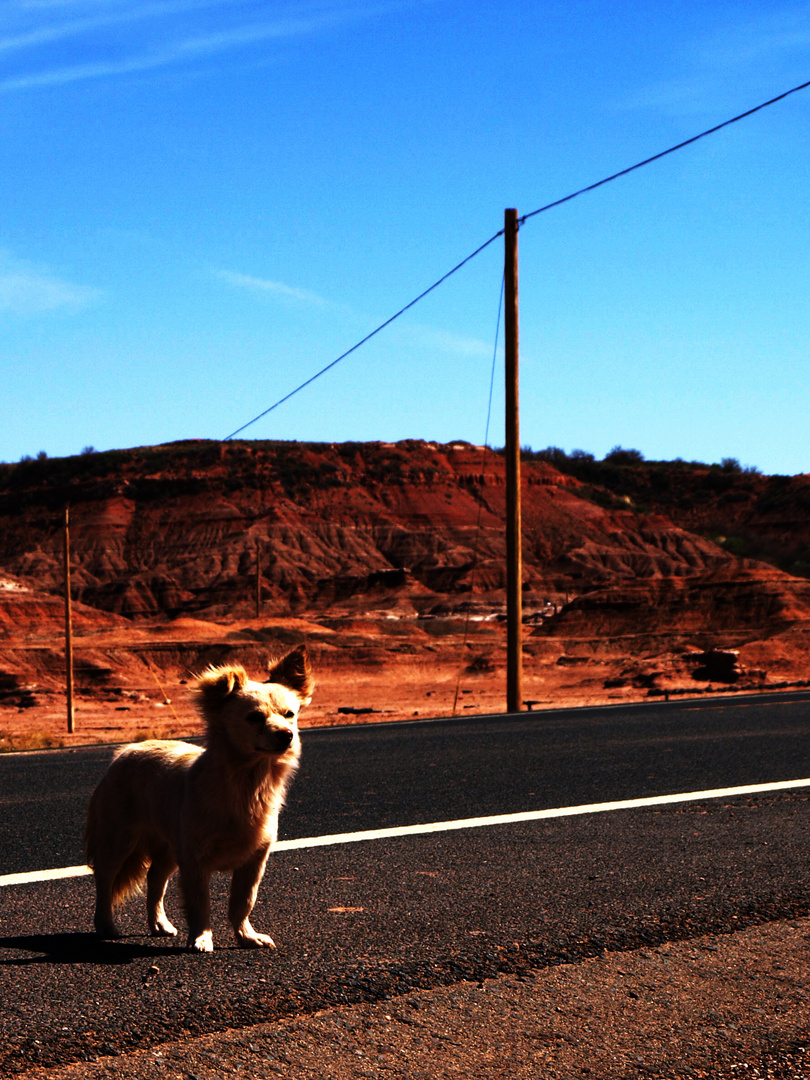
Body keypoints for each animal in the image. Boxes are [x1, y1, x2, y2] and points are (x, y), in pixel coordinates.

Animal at [82, 643, 311, 950]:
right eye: (254, 717)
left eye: (290, 714)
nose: (287, 735)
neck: (248, 784)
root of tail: (124, 752)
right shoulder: (194, 859)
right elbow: (200, 903)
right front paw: (202, 938)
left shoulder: (254, 859)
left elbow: (244, 902)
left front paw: (246, 936)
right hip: (118, 840)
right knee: (105, 880)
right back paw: (105, 925)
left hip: (169, 847)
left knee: (155, 879)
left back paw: (159, 924)